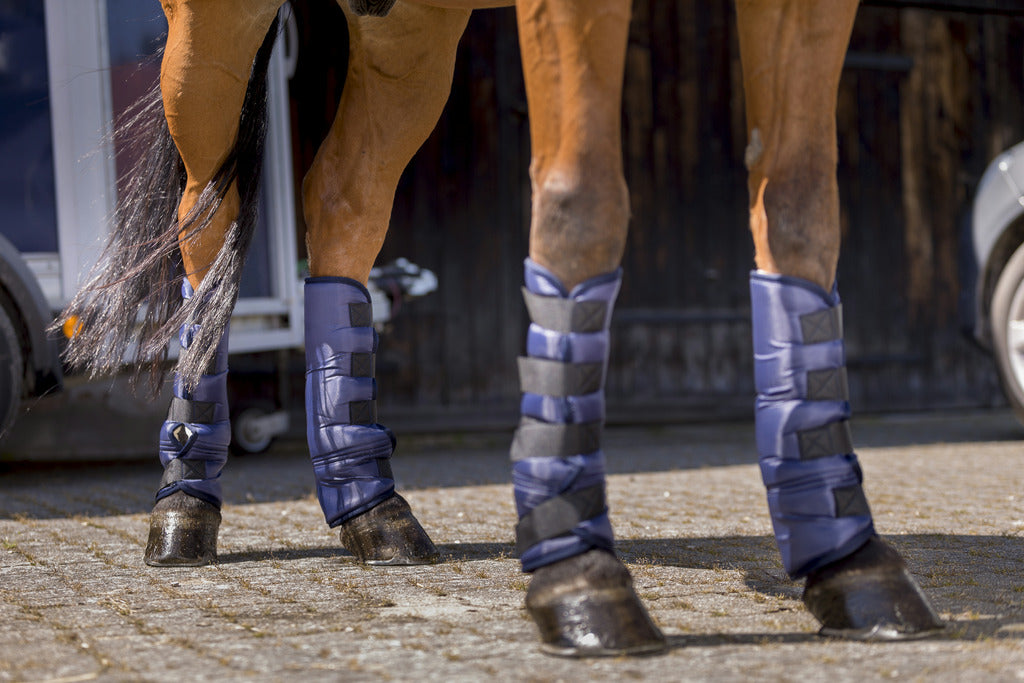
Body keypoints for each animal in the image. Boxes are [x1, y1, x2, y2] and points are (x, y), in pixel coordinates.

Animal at [58, 0, 942, 659]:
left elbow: (800, 210)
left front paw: (846, 555)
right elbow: (582, 200)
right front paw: (579, 572)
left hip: (409, 31)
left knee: (343, 204)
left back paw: (369, 503)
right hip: (213, 29)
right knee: (206, 215)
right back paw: (183, 504)